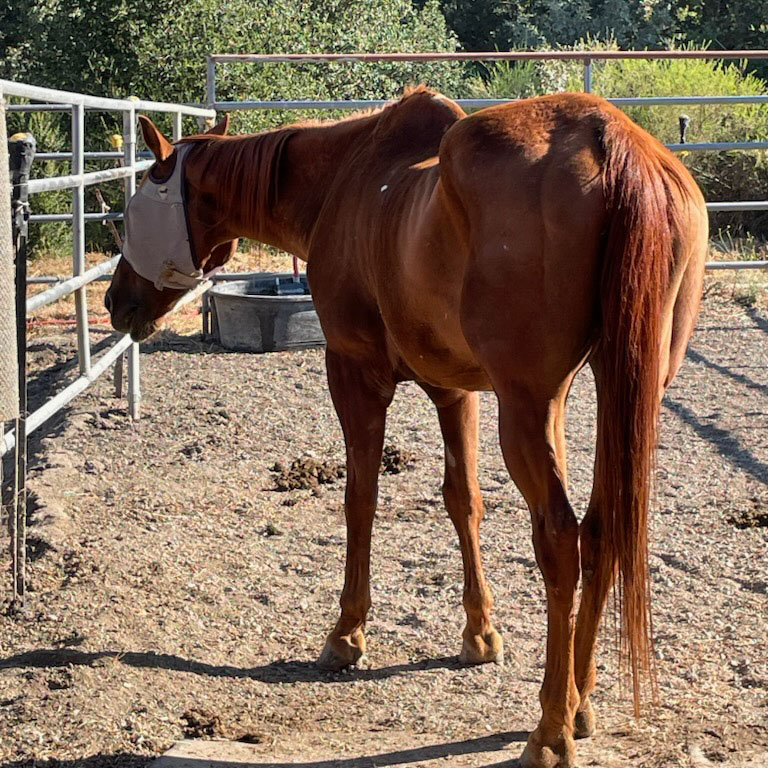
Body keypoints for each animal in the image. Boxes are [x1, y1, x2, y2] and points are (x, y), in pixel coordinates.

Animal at [105, 86, 708, 768]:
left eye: (134, 209)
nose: (116, 301)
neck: (346, 180)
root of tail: (613, 143)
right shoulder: (455, 392)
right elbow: (463, 500)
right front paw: (480, 634)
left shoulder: (354, 372)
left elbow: (360, 499)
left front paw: (347, 634)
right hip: (614, 391)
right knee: (604, 530)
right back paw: (580, 704)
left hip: (530, 405)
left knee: (560, 540)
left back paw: (550, 728)